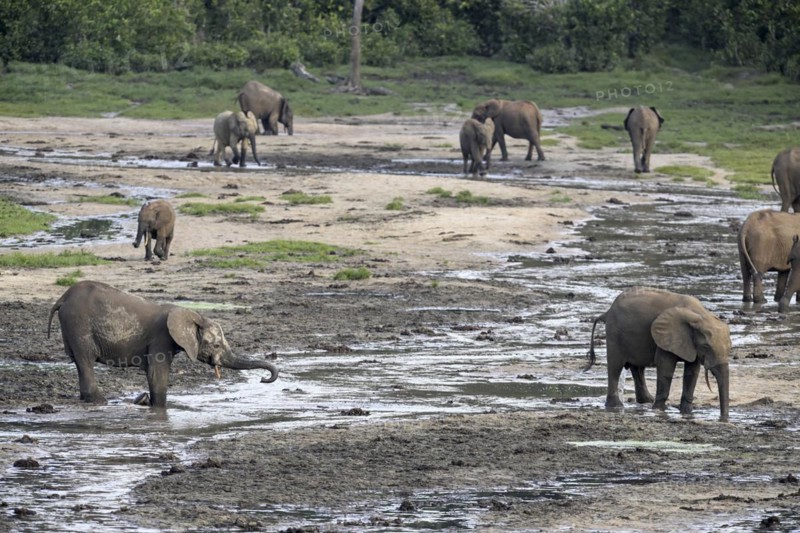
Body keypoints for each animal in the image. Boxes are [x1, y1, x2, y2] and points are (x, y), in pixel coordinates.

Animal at [47, 280, 279, 408]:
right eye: (216, 346)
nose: (262, 379)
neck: (194, 315)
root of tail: (63, 297)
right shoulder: (161, 338)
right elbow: (156, 374)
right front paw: (158, 408)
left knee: (80, 362)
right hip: (79, 325)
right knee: (86, 360)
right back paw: (99, 402)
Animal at [586, 287, 730, 420]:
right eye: (706, 346)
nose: (723, 418)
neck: (701, 315)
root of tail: (607, 312)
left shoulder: (691, 344)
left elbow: (692, 372)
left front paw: (687, 412)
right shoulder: (666, 337)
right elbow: (665, 367)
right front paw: (659, 409)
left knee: (637, 367)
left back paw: (646, 401)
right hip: (614, 333)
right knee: (615, 366)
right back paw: (616, 406)